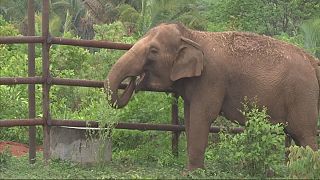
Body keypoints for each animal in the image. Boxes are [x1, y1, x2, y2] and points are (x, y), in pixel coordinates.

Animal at [104, 22, 318, 170]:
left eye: (153, 51)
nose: (135, 79)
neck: (191, 35)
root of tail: (312, 60)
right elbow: (189, 117)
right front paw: (192, 169)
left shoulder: (211, 78)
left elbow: (203, 116)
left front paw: (191, 172)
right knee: (297, 136)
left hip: (302, 95)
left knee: (305, 134)